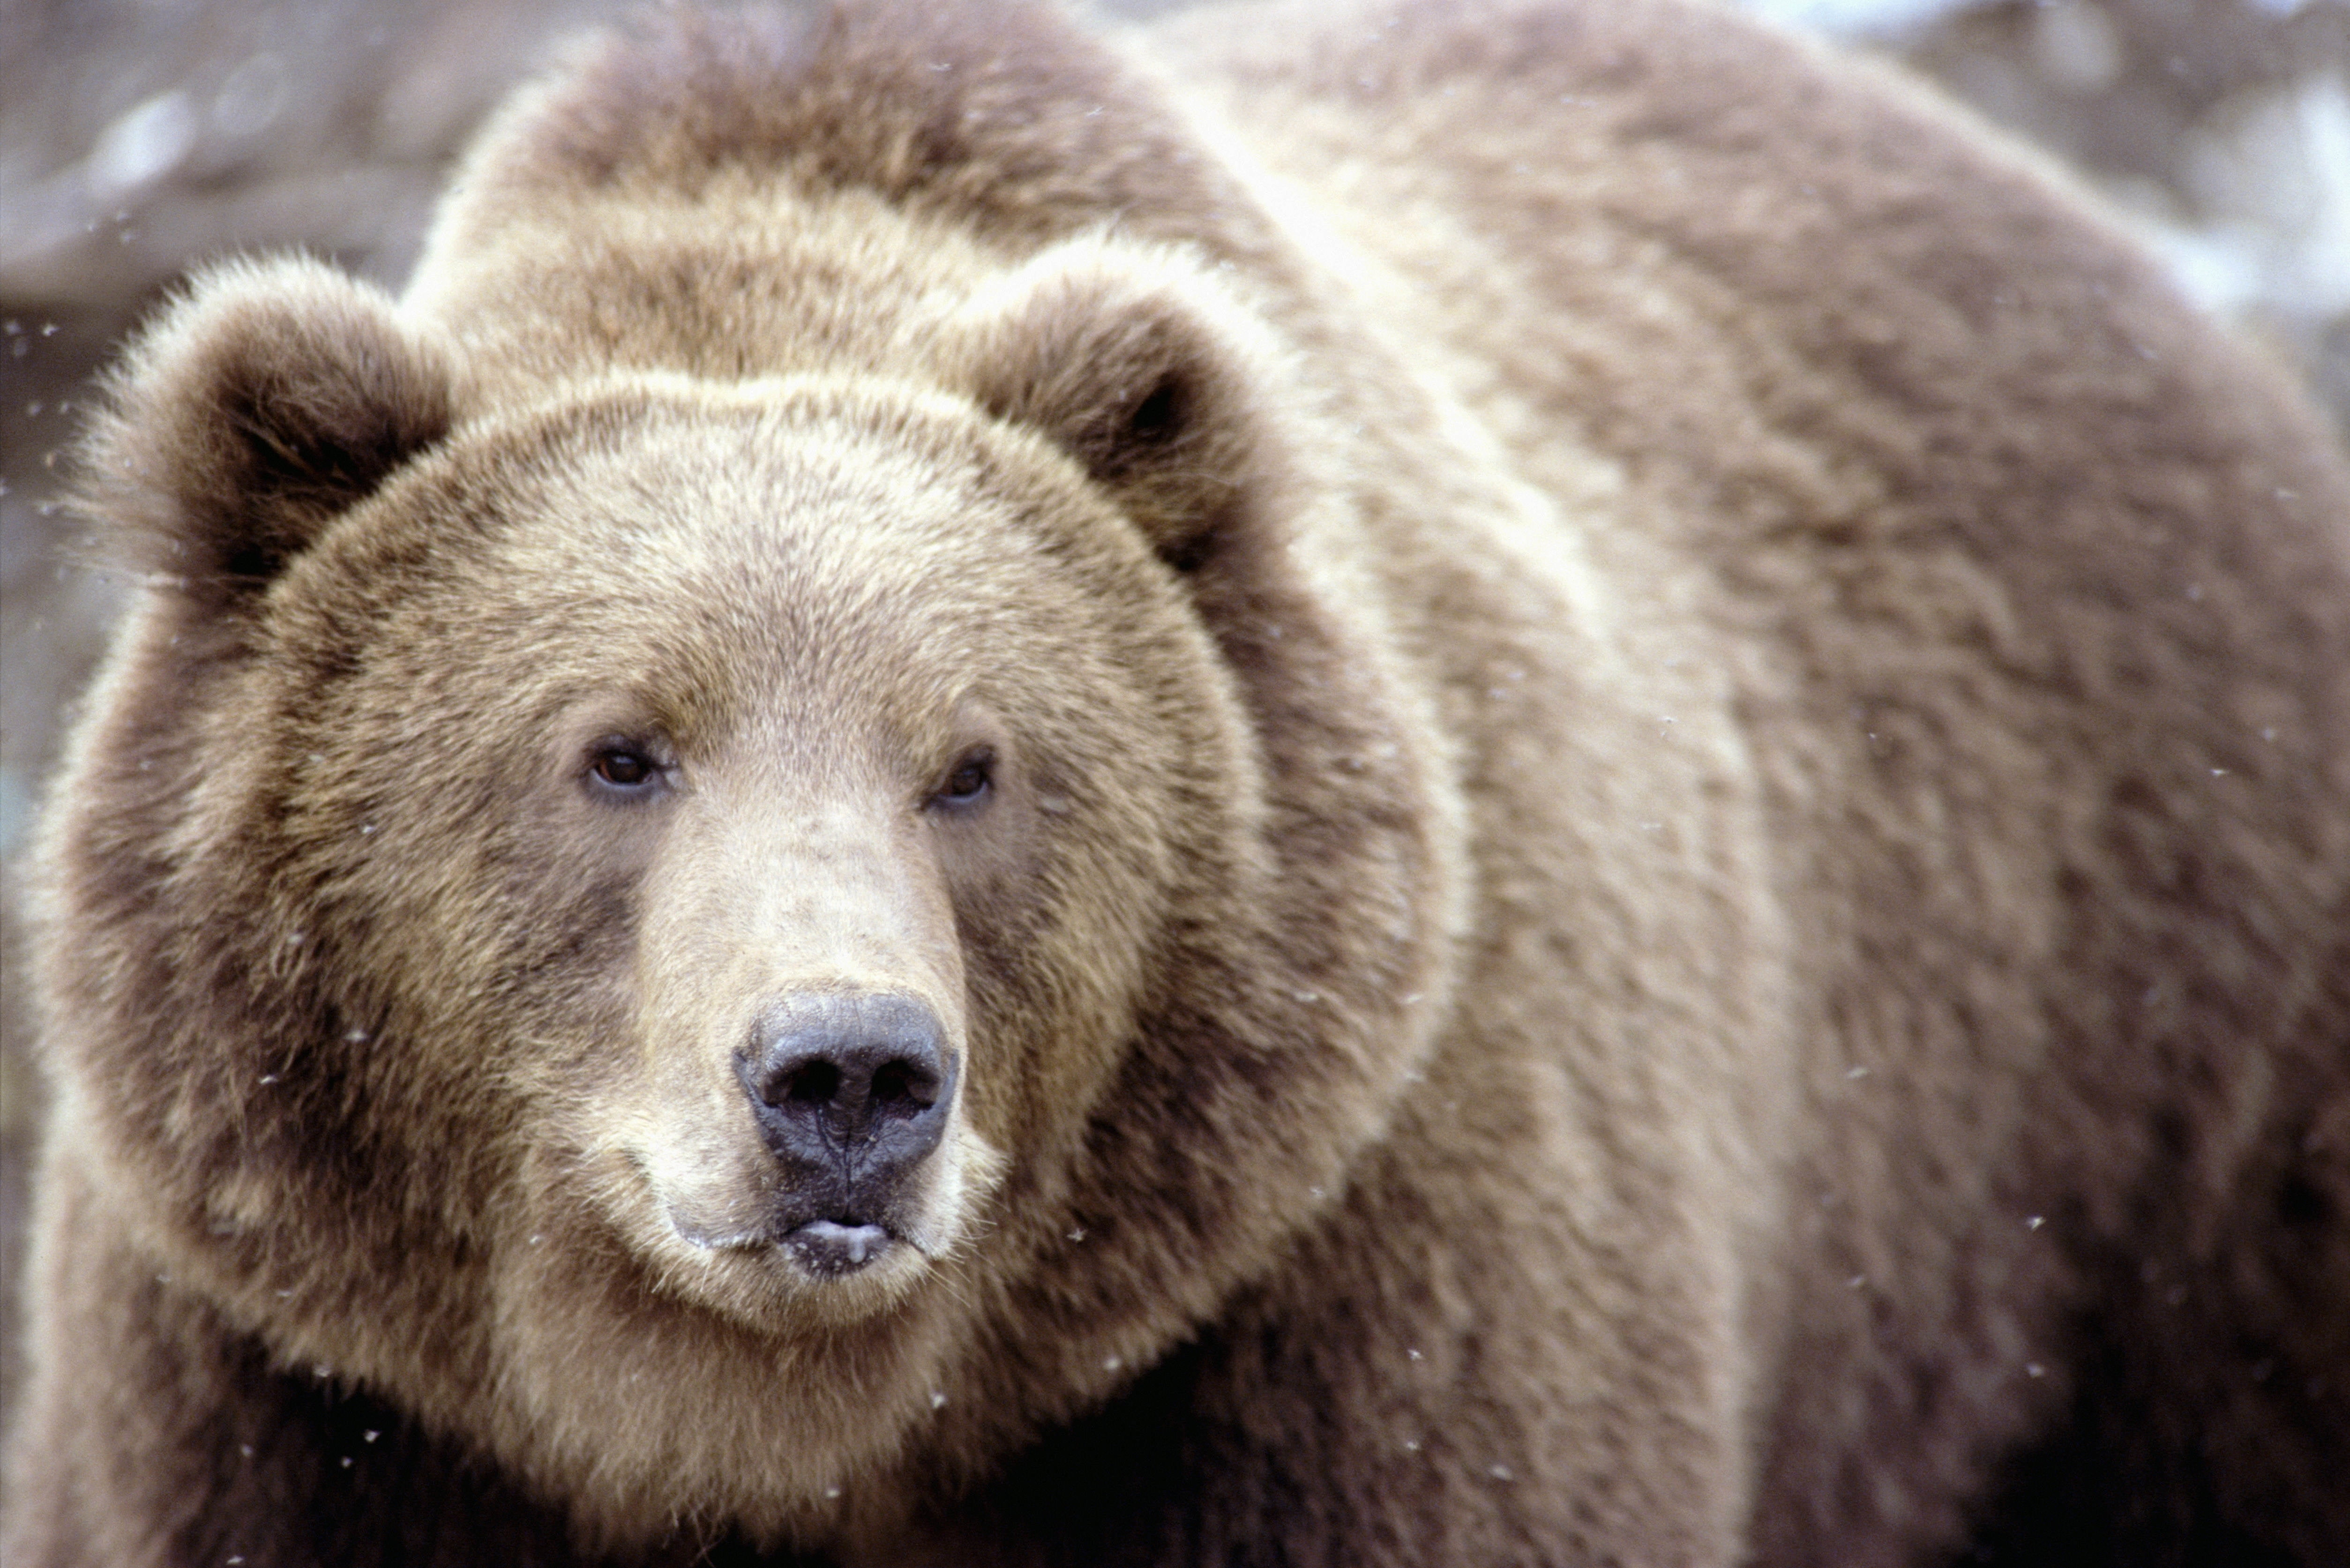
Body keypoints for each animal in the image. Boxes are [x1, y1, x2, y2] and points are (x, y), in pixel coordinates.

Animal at [4, 0, 2350, 1561]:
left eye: (972, 763)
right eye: (616, 748)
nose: (844, 1076)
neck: (763, 1424)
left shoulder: (1338, 1306)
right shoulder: (298, 1401)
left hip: (2148, 1119)